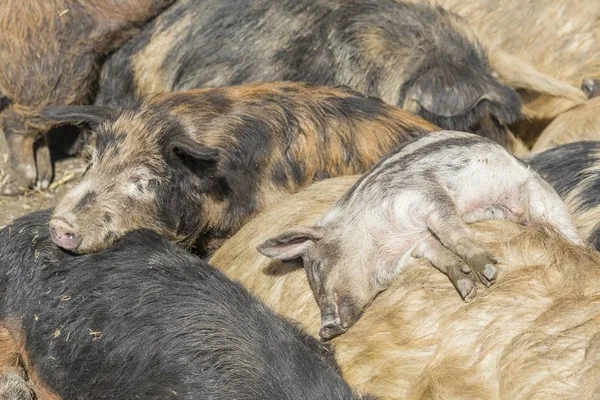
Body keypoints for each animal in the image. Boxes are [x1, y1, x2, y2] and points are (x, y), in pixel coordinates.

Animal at [256, 130, 580, 338]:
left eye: (318, 268)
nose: (325, 329)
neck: (390, 239)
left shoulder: (427, 195)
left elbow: (452, 234)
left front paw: (487, 274)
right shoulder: (419, 243)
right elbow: (441, 256)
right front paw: (467, 289)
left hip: (544, 200)